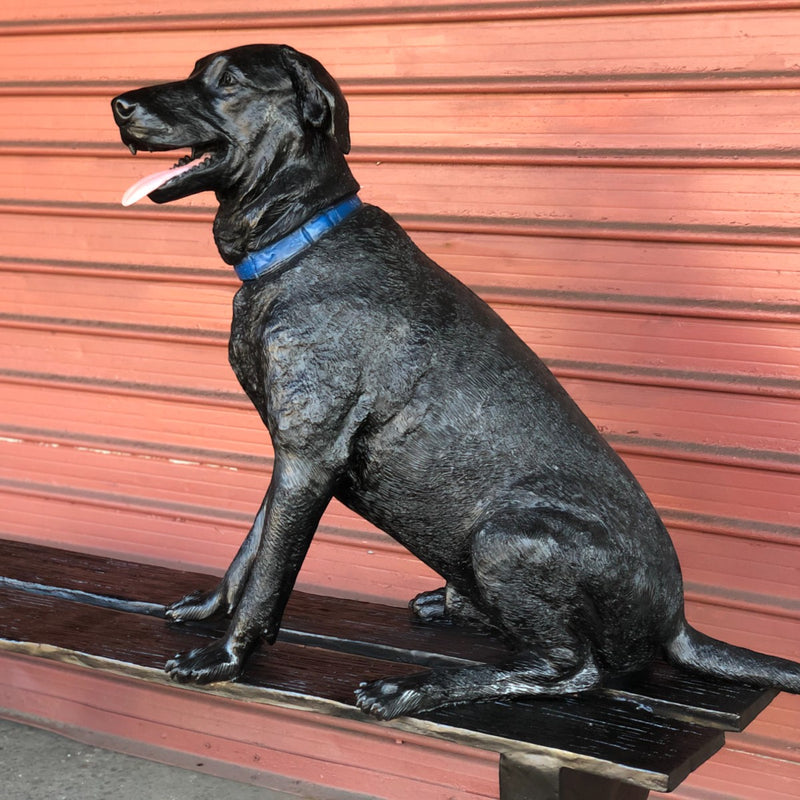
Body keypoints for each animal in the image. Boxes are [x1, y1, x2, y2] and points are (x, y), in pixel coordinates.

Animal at [112, 43, 800, 720]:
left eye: (227, 81)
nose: (117, 105)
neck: (298, 244)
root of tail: (676, 623)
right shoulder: (294, 451)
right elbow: (250, 549)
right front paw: (207, 609)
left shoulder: (309, 452)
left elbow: (271, 573)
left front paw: (225, 658)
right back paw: (454, 606)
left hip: (507, 536)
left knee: (574, 670)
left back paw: (415, 687)